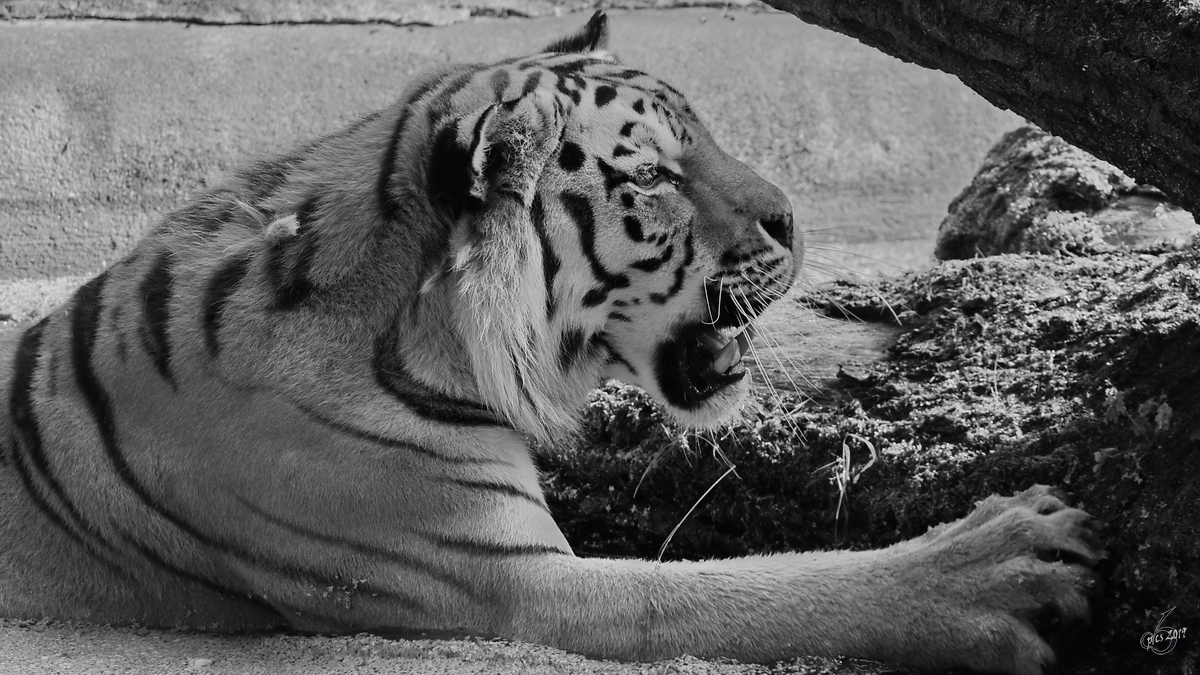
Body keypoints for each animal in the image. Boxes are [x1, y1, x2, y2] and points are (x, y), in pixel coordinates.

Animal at [0, 11, 1099, 672]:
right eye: (653, 176)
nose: (793, 220)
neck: (412, 323)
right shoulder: (513, 581)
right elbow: (743, 590)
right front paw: (1000, 563)